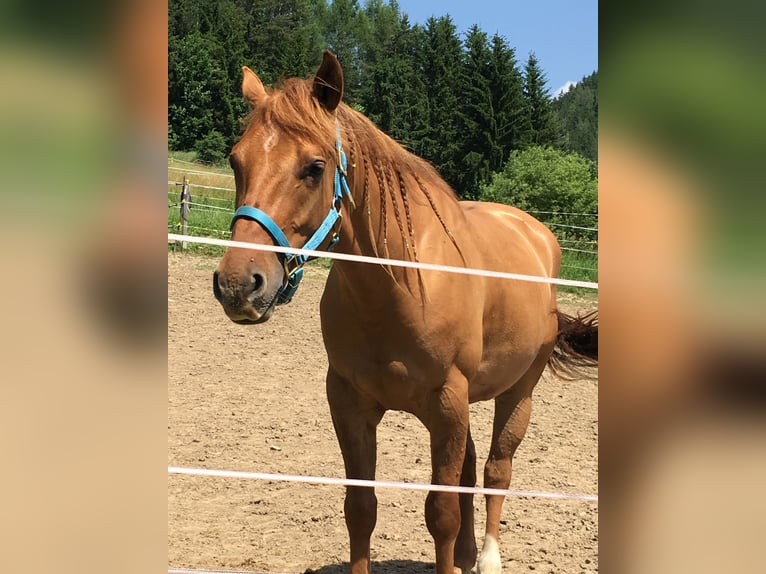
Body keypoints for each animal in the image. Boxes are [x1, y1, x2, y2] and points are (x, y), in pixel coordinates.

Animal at [213, 51, 597, 574]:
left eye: (314, 167)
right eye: (237, 160)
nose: (238, 284)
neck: (397, 286)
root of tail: (536, 233)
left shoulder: (447, 403)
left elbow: (441, 513)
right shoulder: (350, 404)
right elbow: (361, 508)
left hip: (518, 392)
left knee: (496, 469)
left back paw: (487, 558)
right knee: (471, 469)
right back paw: (468, 556)